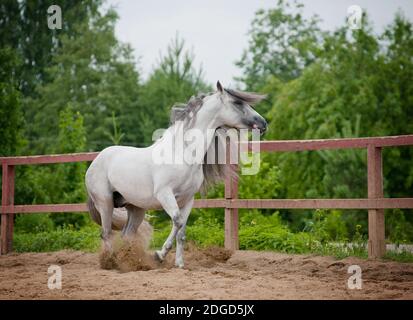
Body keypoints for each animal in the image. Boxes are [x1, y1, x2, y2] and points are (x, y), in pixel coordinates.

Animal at [85, 80, 266, 268]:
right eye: (237, 102)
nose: (263, 123)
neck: (182, 152)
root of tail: (97, 160)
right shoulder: (165, 194)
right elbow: (177, 222)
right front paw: (159, 255)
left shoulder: (188, 200)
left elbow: (182, 231)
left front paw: (179, 264)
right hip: (105, 202)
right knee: (106, 233)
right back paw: (111, 262)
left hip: (136, 208)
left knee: (126, 234)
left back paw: (132, 261)